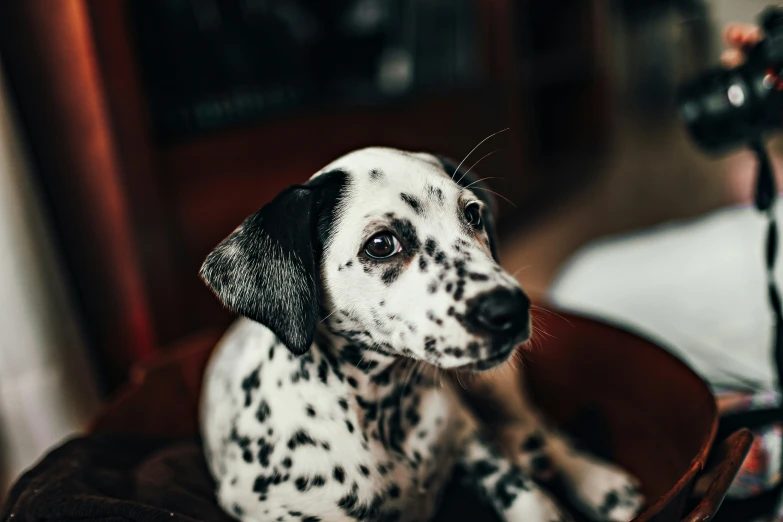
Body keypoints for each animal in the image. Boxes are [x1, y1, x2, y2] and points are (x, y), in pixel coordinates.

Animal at [198, 146, 644, 520]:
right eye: (381, 244)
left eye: (473, 215)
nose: (512, 309)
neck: (386, 411)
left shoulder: (471, 440)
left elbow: (526, 494)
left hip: (493, 382)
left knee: (536, 423)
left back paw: (597, 481)